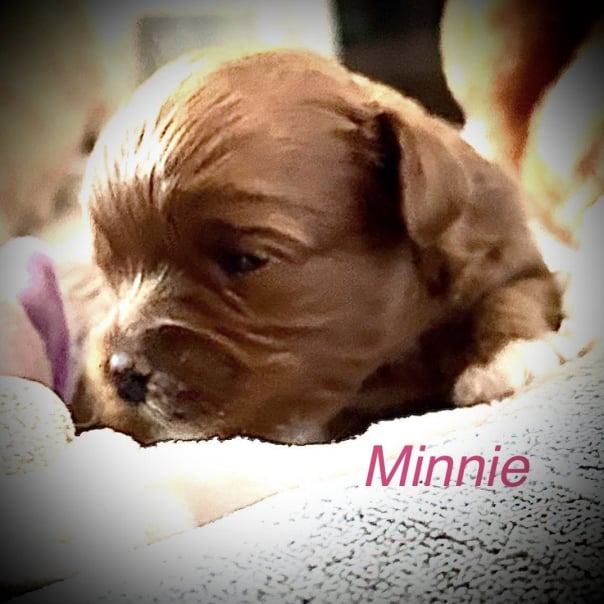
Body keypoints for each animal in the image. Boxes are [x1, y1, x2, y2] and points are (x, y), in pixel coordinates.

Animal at [69, 49, 562, 445]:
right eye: (110, 273)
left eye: (245, 260)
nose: (121, 375)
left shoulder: (509, 255)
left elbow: (513, 296)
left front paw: (506, 361)